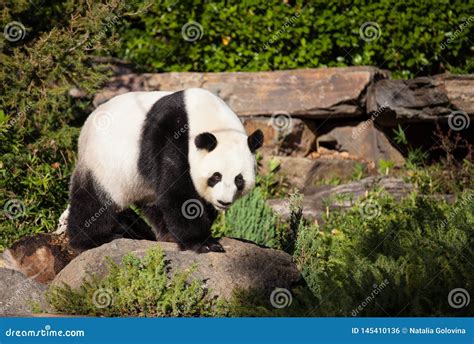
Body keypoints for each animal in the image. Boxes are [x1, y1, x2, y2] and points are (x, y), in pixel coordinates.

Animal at [67, 88, 264, 253]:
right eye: (216, 176)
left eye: (239, 179)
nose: (223, 201)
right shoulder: (172, 134)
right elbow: (178, 192)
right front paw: (204, 243)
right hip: (103, 164)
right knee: (93, 201)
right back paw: (91, 239)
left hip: (140, 184)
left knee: (154, 204)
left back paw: (165, 234)